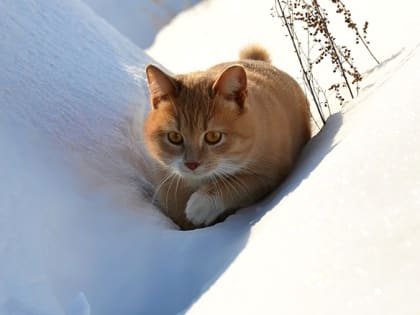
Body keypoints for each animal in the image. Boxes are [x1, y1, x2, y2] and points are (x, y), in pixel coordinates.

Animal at [144, 45, 312, 230]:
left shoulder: (271, 174)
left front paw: (202, 203)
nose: (192, 164)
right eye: (174, 137)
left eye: (213, 136)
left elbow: (239, 183)